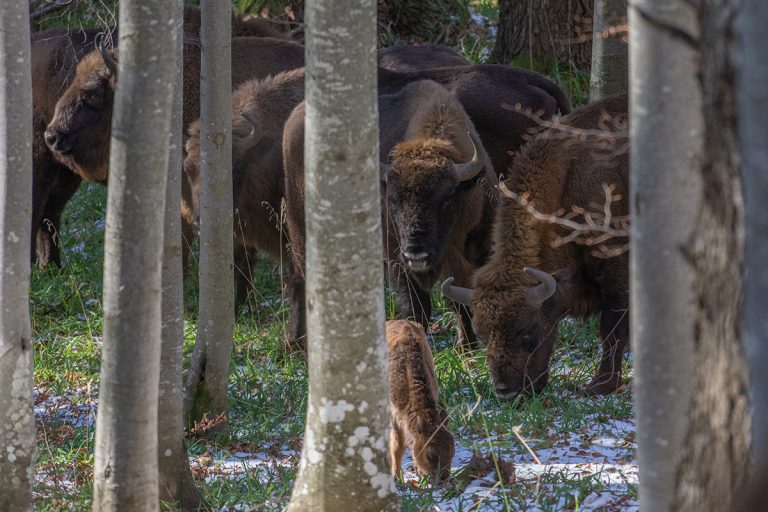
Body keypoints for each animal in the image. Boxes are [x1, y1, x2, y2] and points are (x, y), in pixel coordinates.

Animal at [443, 94, 629, 400]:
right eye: (482, 335)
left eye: (527, 331)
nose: (507, 393)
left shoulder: (616, 273)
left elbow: (611, 330)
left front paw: (601, 385)